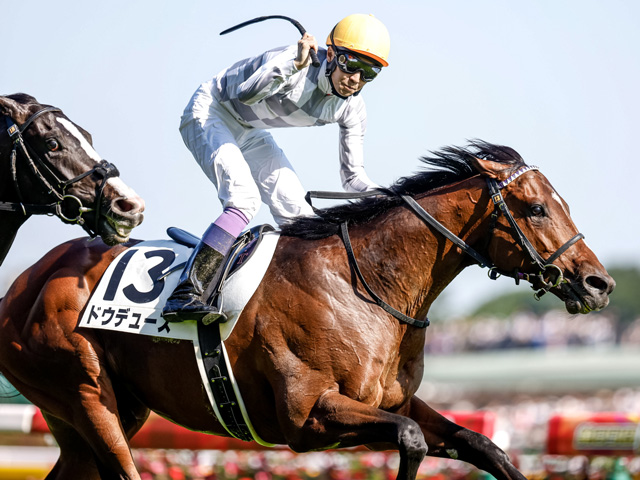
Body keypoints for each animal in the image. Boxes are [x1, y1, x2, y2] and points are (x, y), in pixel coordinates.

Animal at [0, 141, 614, 480]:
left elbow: (482, 444)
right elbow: (411, 440)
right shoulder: (308, 418)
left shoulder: (395, 401)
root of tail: (22, 286)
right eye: (536, 208)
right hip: (87, 395)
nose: (599, 283)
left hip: (102, 416)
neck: (366, 285)